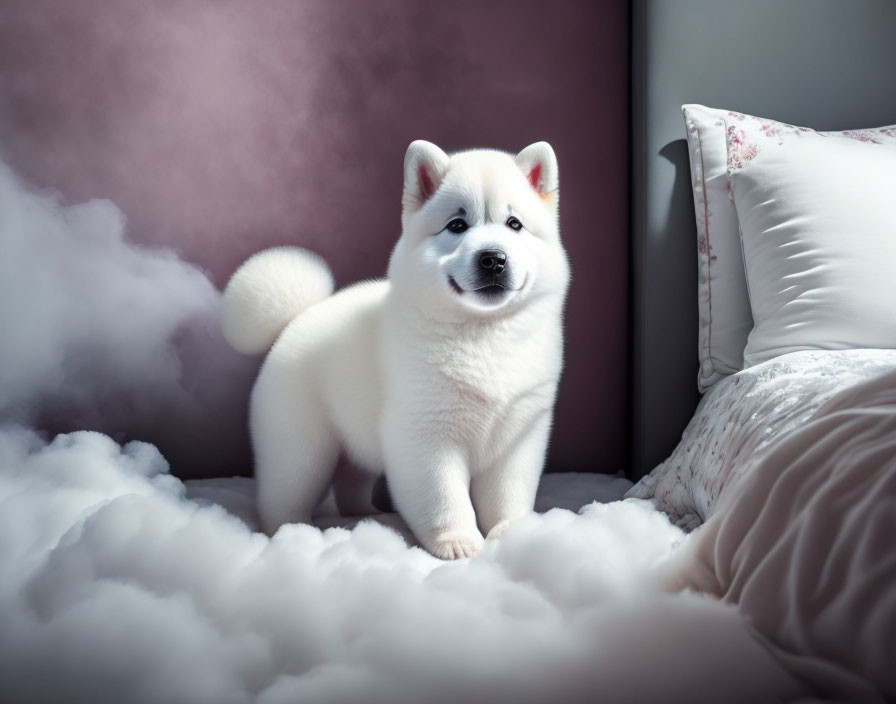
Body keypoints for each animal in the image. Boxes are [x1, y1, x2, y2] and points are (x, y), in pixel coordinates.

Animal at [222, 142, 568, 560]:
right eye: (457, 226)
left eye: (514, 224)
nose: (493, 258)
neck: (484, 332)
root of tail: (297, 318)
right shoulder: (426, 436)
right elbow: (445, 497)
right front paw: (457, 542)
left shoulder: (519, 436)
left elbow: (509, 494)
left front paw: (510, 532)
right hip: (302, 446)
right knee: (284, 490)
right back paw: (290, 529)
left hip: (352, 442)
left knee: (351, 479)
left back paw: (364, 514)